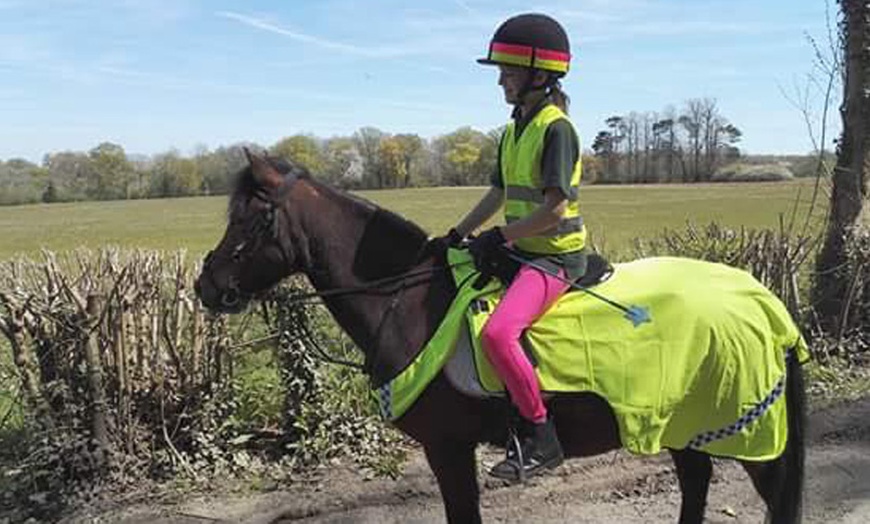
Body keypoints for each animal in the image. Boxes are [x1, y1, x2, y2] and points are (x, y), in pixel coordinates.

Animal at [194, 149, 808, 520]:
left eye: (249, 220)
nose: (207, 285)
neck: (407, 299)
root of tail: (760, 300)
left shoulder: (447, 447)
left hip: (742, 426)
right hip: (683, 420)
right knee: (696, 479)